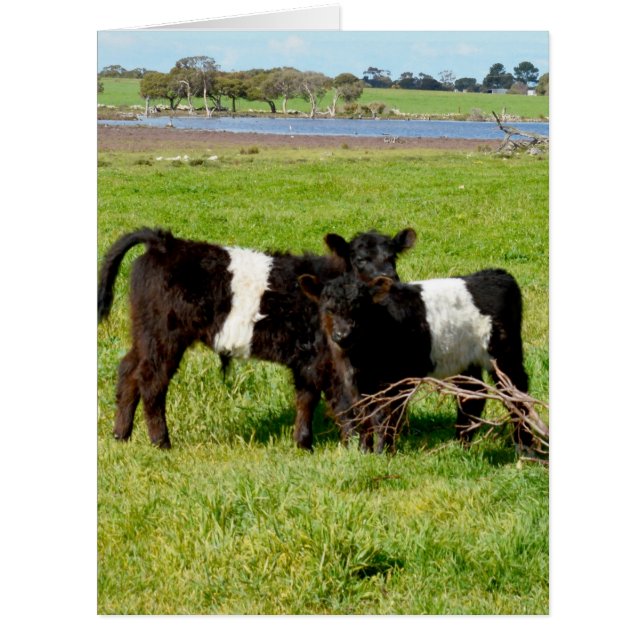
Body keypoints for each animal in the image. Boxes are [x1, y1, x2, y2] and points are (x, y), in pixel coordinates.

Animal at [97, 226, 416, 449]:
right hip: (165, 335)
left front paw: (303, 444)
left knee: (128, 371)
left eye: (392, 257)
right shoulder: (329, 358)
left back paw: (121, 435)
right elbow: (343, 404)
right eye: (360, 259)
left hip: (144, 332)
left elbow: (306, 398)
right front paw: (351, 448)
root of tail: (164, 242)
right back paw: (161, 442)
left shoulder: (307, 359)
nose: (391, 280)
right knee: (151, 381)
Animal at [299, 269, 530, 453]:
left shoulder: (397, 381)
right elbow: (364, 416)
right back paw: (460, 445)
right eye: (328, 308)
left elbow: (385, 415)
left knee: (517, 395)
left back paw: (526, 448)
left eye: (360, 308)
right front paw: (364, 451)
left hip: (505, 356)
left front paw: (383, 453)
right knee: (472, 397)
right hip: (465, 362)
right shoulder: (357, 383)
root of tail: (498, 274)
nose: (343, 335)